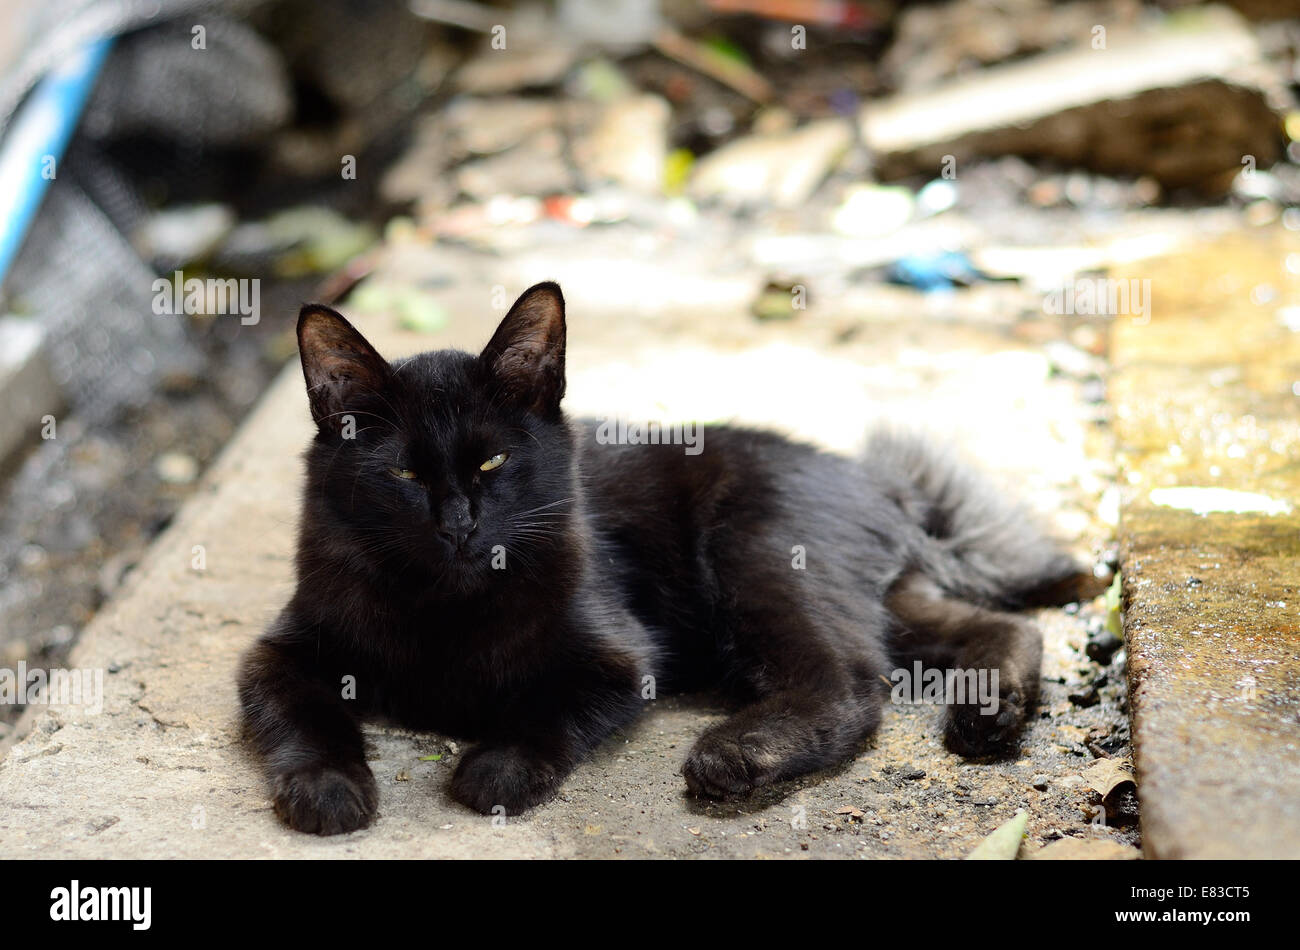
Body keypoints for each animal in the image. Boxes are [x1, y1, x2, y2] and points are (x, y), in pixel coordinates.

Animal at [239, 280, 1092, 831]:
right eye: (406, 475)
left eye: (492, 462)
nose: (458, 525)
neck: (447, 606)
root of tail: (872, 479)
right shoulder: (276, 652)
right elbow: (301, 713)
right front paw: (327, 788)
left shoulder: (618, 660)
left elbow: (542, 707)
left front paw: (496, 769)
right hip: (855, 590)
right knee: (993, 628)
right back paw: (990, 712)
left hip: (753, 552)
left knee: (849, 684)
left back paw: (736, 755)